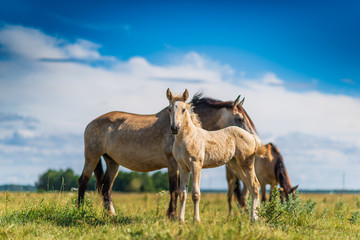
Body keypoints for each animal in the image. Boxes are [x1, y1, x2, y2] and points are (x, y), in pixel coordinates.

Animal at [167, 88, 266, 223]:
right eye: (169, 109)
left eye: (183, 109)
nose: (175, 128)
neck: (186, 138)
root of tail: (251, 136)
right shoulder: (183, 167)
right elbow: (183, 193)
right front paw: (181, 221)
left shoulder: (196, 165)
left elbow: (195, 194)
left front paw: (196, 221)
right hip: (235, 165)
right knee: (251, 186)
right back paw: (256, 218)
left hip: (246, 163)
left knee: (255, 185)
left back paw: (253, 220)